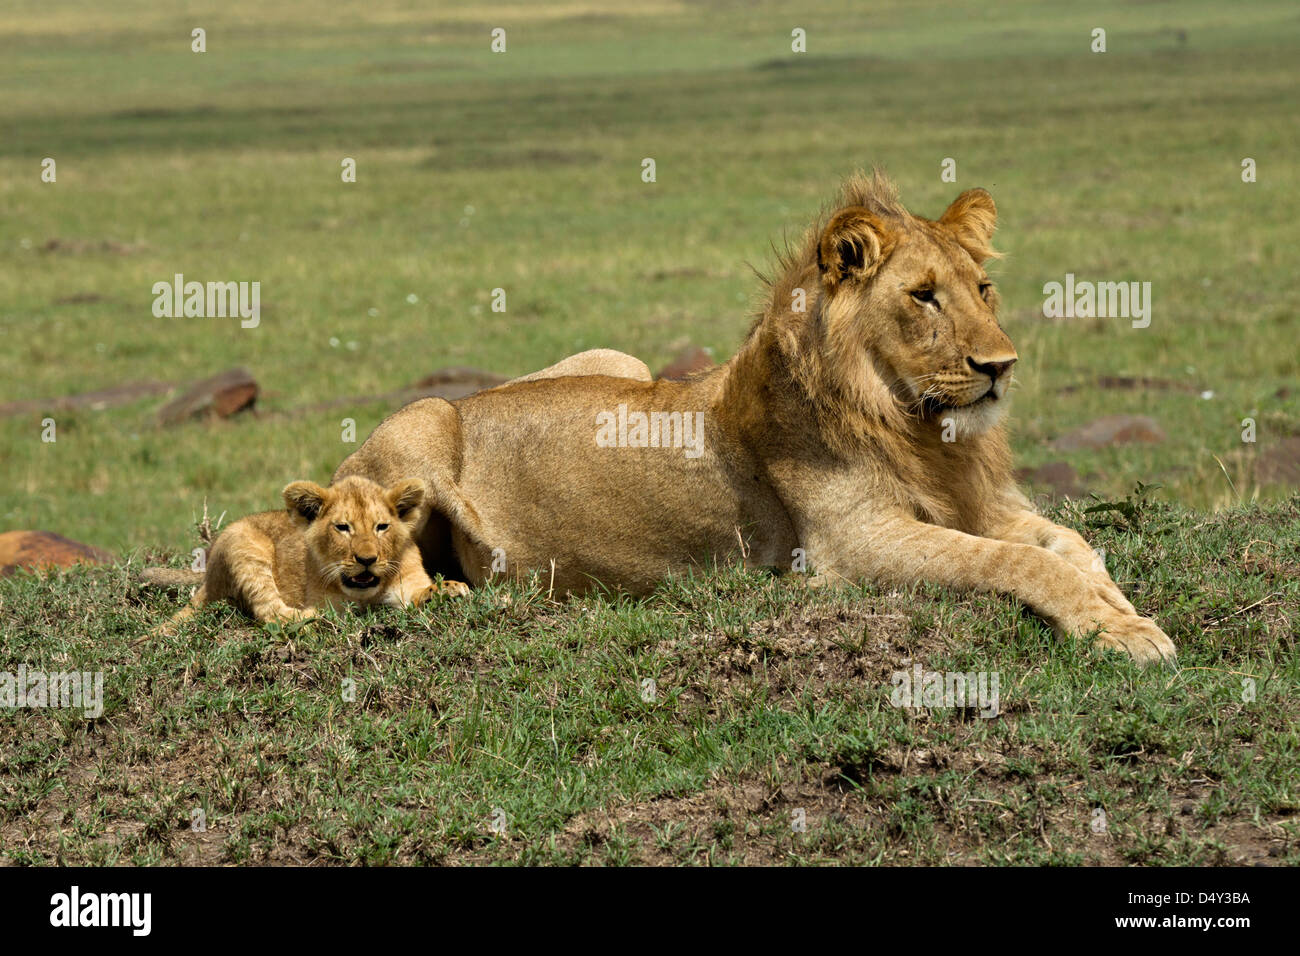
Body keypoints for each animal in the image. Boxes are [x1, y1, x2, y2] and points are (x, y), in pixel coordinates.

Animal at [148, 475, 469, 635]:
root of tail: (207, 579)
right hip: (246, 549)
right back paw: (313, 616)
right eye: (343, 527)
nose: (367, 560)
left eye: (382, 527)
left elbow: (421, 592)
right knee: (271, 613)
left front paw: (451, 589)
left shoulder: (408, 583)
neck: (366, 594)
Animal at [334, 172, 1175, 665]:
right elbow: (1017, 563)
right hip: (422, 423)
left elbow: (1071, 546)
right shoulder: (852, 545)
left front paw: (1116, 606)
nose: (1001, 366)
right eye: (924, 296)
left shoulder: (981, 503)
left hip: (620, 361)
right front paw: (1126, 634)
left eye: (984, 288)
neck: (913, 429)